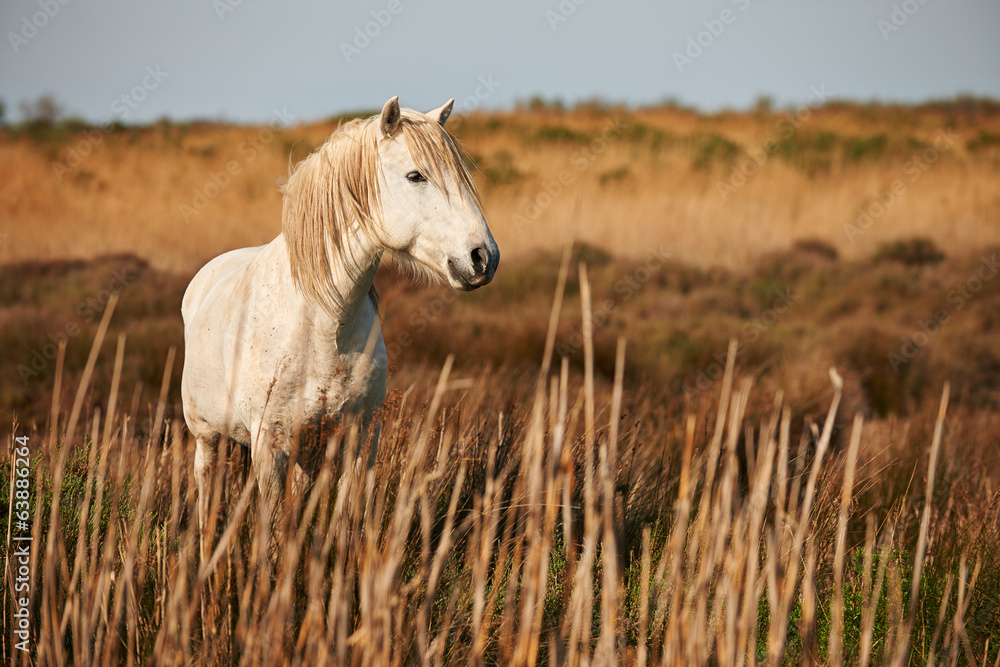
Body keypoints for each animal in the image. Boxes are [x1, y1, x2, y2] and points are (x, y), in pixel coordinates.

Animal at [180, 96, 499, 543]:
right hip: (206, 435)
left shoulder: (360, 435)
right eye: (415, 175)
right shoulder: (267, 442)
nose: (483, 258)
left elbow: (349, 518)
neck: (321, 326)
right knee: (207, 484)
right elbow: (273, 526)